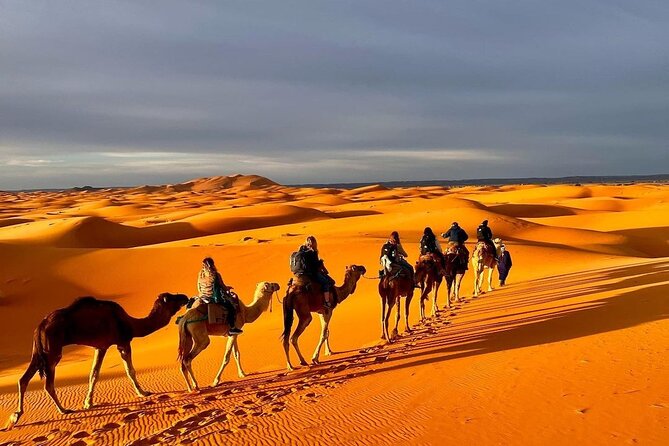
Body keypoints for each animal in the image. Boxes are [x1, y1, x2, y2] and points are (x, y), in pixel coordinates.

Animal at [5, 292, 189, 430]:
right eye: (172, 297)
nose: (185, 297)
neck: (130, 323)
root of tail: (40, 326)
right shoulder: (122, 342)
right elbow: (130, 370)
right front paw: (143, 393)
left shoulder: (100, 347)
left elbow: (94, 373)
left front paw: (88, 403)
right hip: (53, 352)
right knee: (48, 384)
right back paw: (64, 410)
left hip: (38, 352)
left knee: (23, 379)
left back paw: (16, 416)